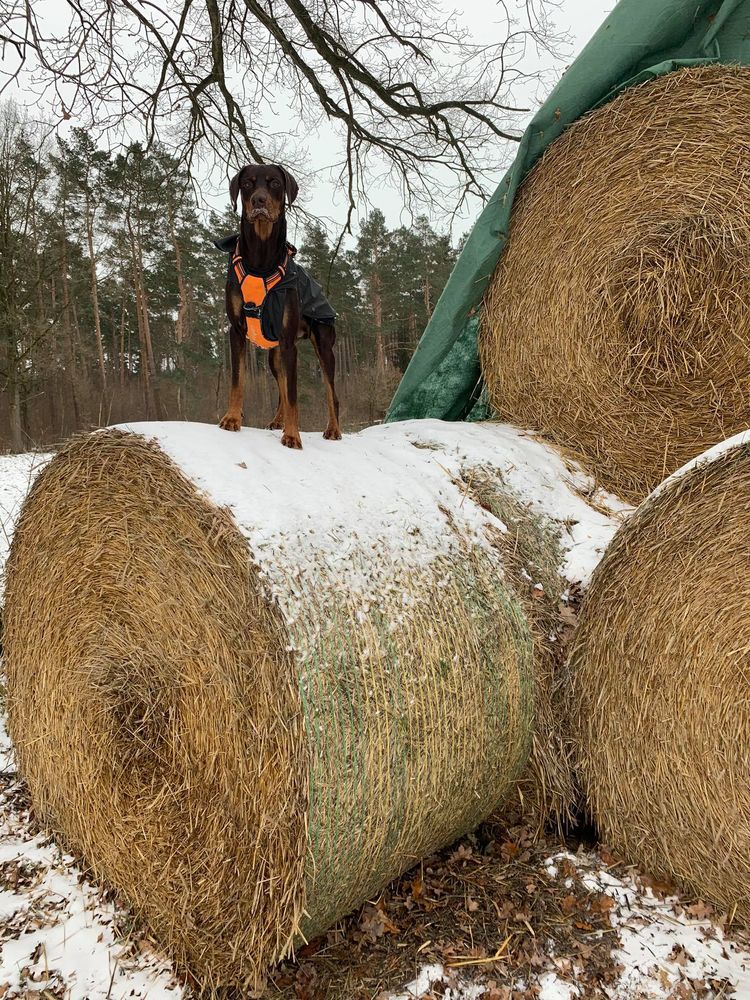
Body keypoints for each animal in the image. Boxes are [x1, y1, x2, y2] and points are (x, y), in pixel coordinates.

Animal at [216, 163, 342, 450]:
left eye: (274, 183)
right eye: (248, 183)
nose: (258, 201)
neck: (261, 261)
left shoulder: (288, 342)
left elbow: (295, 395)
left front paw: (293, 436)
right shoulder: (237, 331)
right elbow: (238, 380)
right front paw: (232, 418)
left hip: (324, 347)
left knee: (331, 393)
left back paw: (333, 429)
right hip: (275, 355)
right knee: (282, 387)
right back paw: (277, 421)